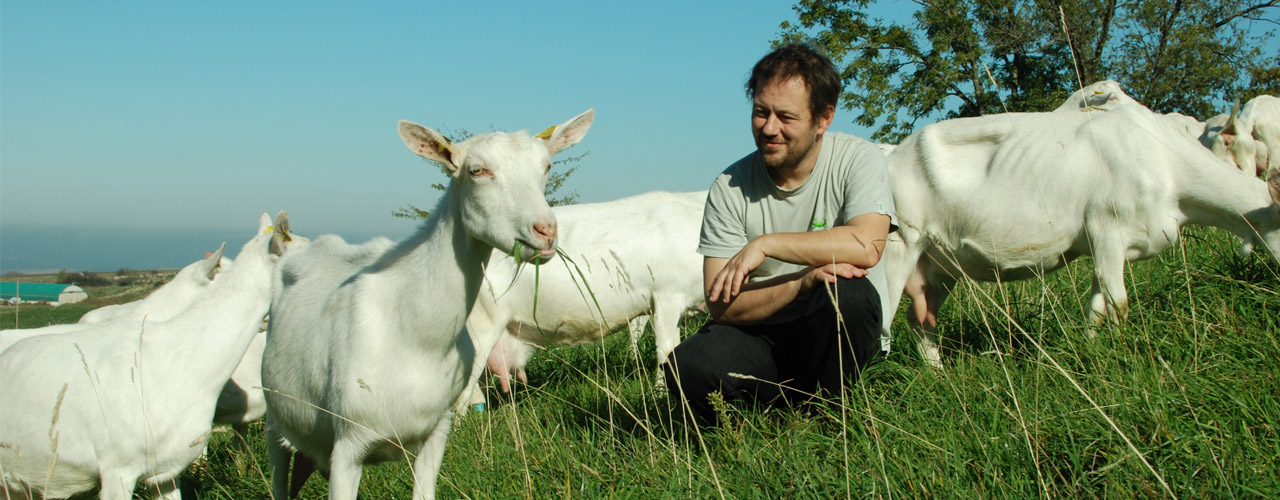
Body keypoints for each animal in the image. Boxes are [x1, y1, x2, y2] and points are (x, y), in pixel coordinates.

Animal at [267, 109, 596, 500]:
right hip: (275, 420)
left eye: (546, 167)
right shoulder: (348, 443)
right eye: (477, 171)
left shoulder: (437, 432)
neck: (414, 337)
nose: (545, 232)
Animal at [880, 92, 1280, 370]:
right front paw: (1121, 356)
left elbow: (1098, 307)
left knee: (921, 319)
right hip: (897, 248)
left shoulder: (1108, 249)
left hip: (938, 263)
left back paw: (937, 374)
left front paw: (1092, 354)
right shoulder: (1107, 229)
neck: (1165, 163)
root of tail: (891, 155)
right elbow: (1119, 304)